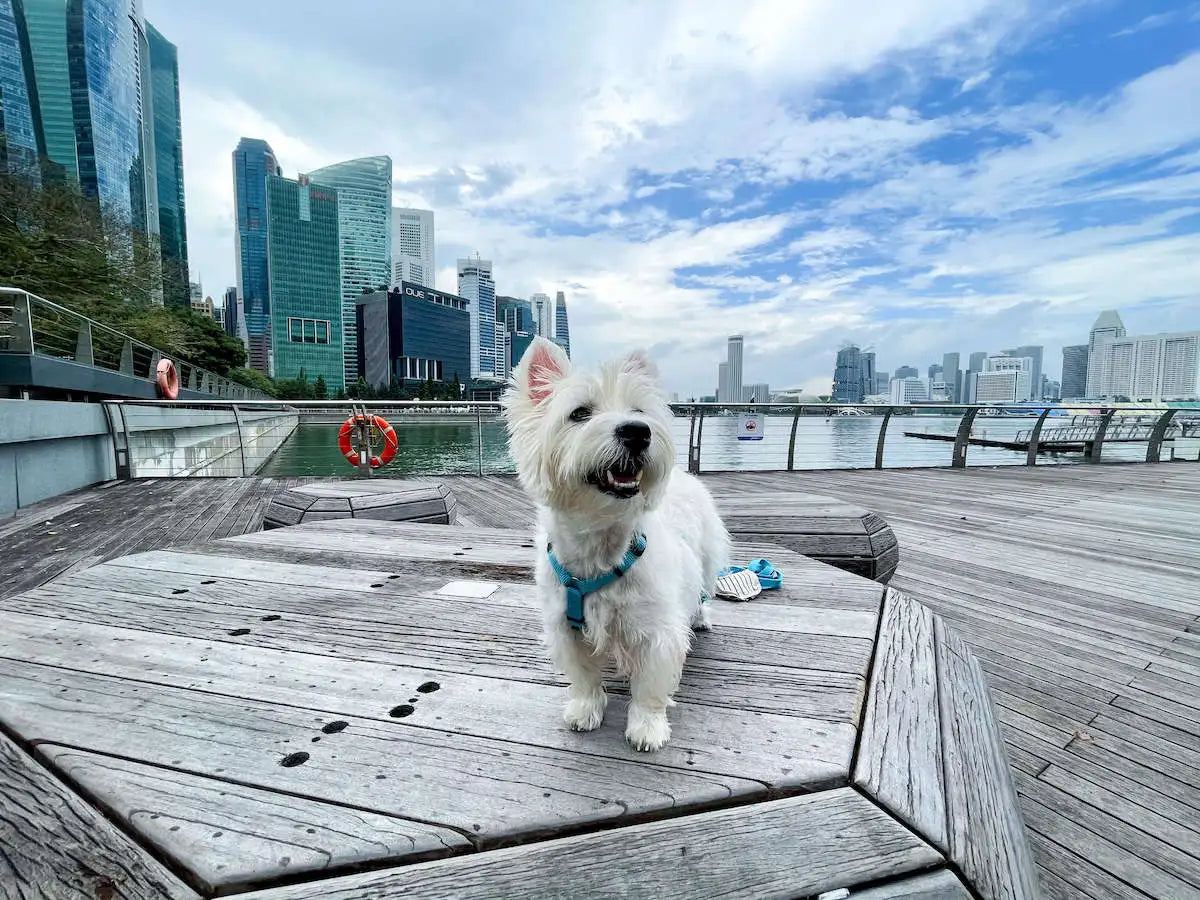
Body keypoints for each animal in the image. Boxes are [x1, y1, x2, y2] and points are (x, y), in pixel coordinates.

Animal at [501, 336, 724, 748]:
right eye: (579, 413)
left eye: (639, 410)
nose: (638, 431)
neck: (601, 540)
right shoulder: (566, 627)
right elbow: (584, 677)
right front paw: (585, 711)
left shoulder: (657, 631)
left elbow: (651, 687)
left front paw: (647, 729)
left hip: (707, 557)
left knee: (703, 591)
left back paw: (700, 618)